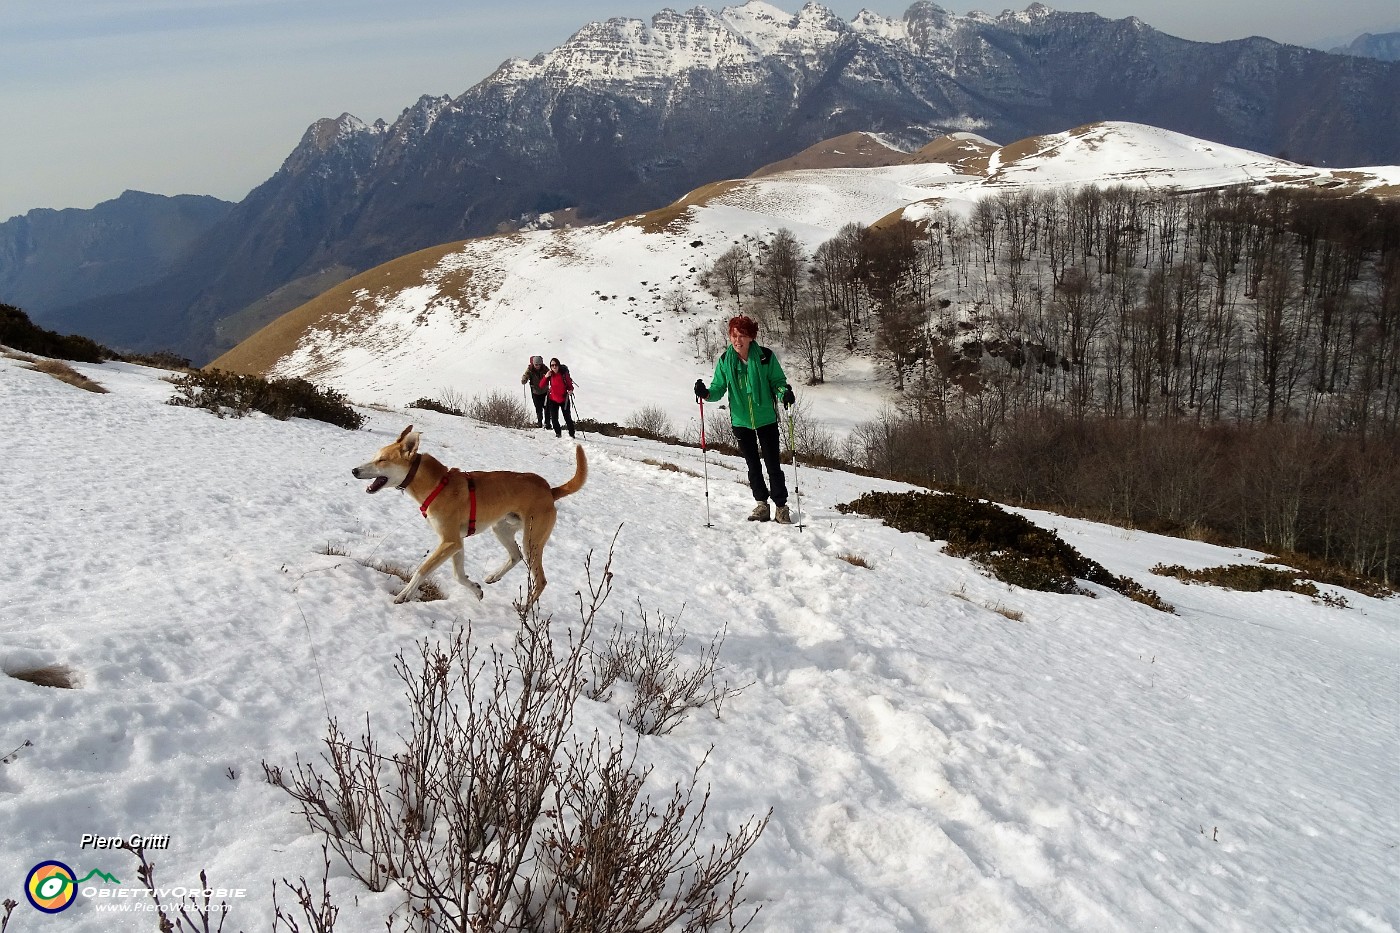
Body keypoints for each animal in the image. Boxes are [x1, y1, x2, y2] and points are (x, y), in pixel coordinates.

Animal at [355, 423, 590, 602]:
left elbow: (422, 569)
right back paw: (494, 576)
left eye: (382, 460)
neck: (437, 485)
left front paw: (405, 594)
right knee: (516, 556)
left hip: (532, 540)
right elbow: (458, 576)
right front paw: (476, 590)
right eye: (375, 457)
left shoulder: (449, 541)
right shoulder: (456, 543)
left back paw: (524, 611)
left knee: (540, 580)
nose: (354, 470)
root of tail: (549, 490)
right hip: (502, 529)